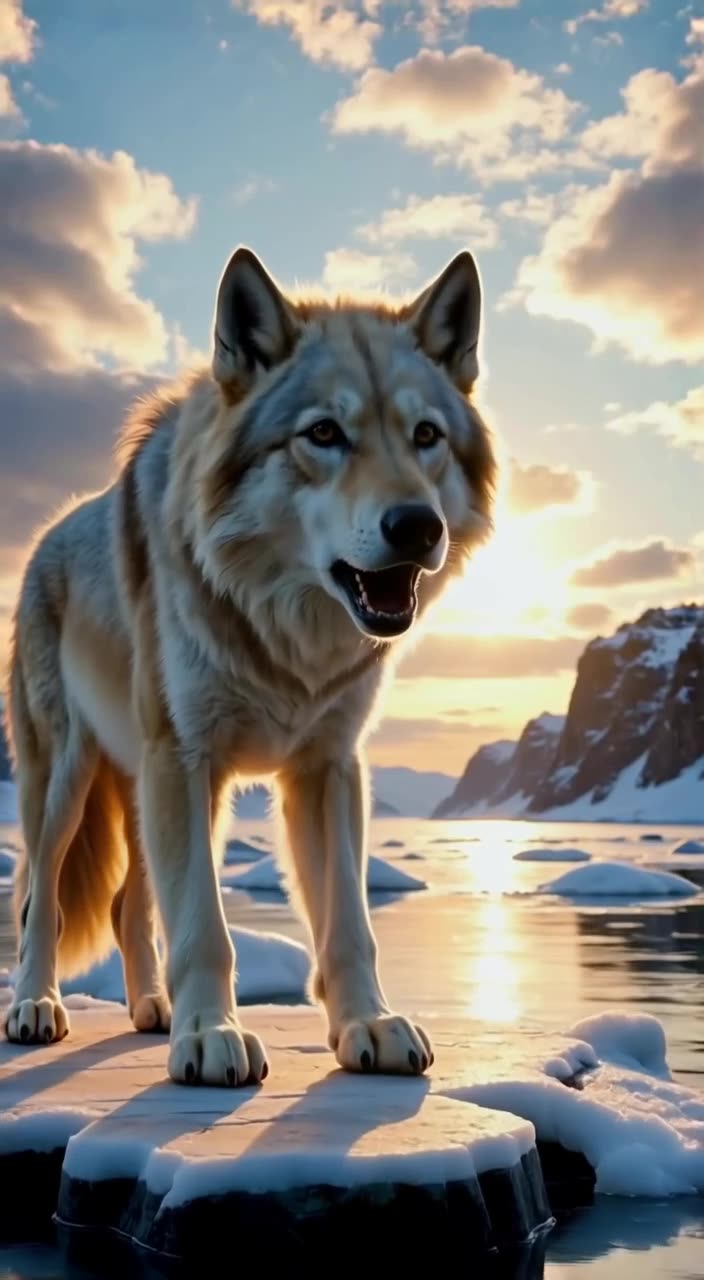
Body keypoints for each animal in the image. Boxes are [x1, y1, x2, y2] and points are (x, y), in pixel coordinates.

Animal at [3, 245, 496, 1086]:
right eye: (323, 433)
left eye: (426, 434)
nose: (416, 526)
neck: (284, 632)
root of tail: (47, 534)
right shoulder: (185, 758)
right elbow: (204, 923)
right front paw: (210, 1037)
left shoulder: (328, 768)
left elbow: (349, 925)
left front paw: (369, 1026)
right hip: (66, 781)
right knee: (44, 900)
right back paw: (37, 1008)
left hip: (146, 790)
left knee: (129, 906)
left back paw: (150, 1012)